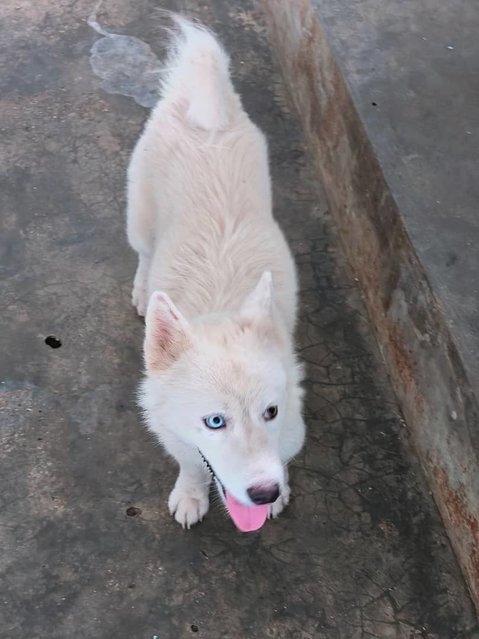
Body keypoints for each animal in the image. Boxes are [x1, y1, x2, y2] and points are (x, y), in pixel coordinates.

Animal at [127, 17, 306, 532]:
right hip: (137, 220)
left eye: (271, 411)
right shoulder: (174, 433)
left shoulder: (291, 427)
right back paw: (144, 290)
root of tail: (205, 114)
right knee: (144, 253)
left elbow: (285, 454)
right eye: (214, 422)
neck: (220, 305)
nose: (265, 494)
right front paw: (191, 494)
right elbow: (190, 462)